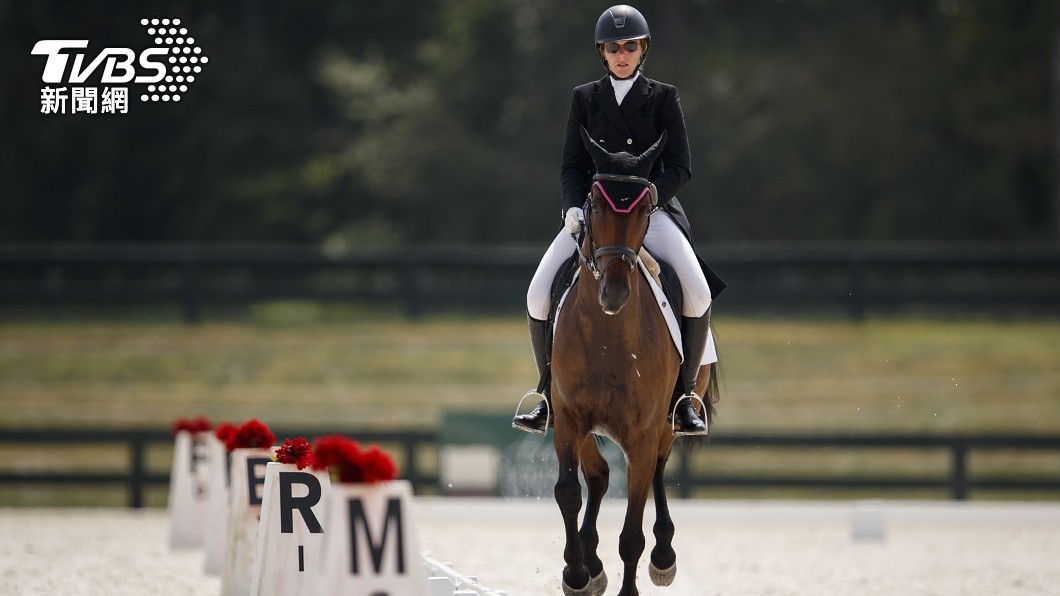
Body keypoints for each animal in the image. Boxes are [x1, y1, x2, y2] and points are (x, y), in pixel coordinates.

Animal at [550, 127, 715, 596]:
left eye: (644, 209)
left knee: (657, 469)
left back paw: (664, 556)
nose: (614, 293)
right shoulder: (569, 418)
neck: (609, 337)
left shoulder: (642, 432)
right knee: (600, 476)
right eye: (593, 204)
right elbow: (568, 491)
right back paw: (592, 563)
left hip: (666, 423)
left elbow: (631, 534)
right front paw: (576, 574)